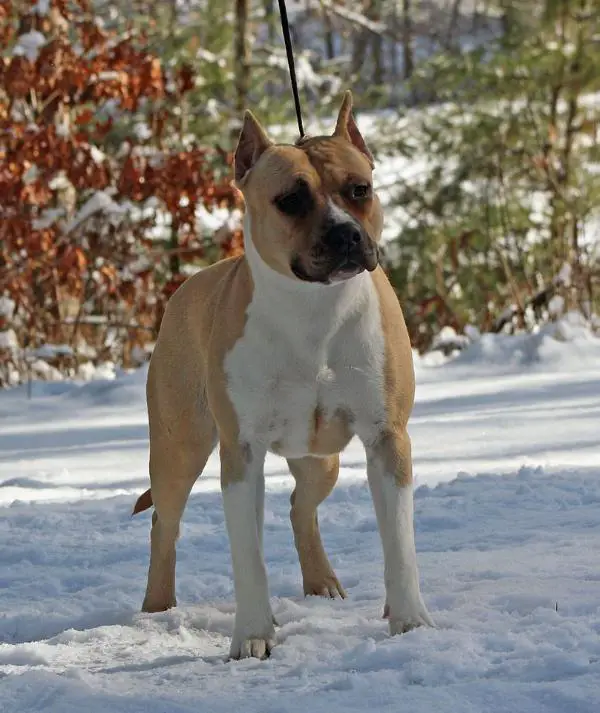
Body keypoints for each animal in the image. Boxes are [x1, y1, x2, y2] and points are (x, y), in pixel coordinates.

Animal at [132, 92, 432, 660]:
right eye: (290, 200)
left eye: (359, 189)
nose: (346, 234)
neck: (313, 310)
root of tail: (187, 287)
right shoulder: (241, 451)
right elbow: (247, 557)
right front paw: (252, 635)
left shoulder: (387, 438)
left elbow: (401, 544)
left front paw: (409, 621)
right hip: (181, 449)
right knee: (166, 521)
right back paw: (157, 606)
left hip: (321, 460)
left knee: (299, 506)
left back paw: (322, 583)